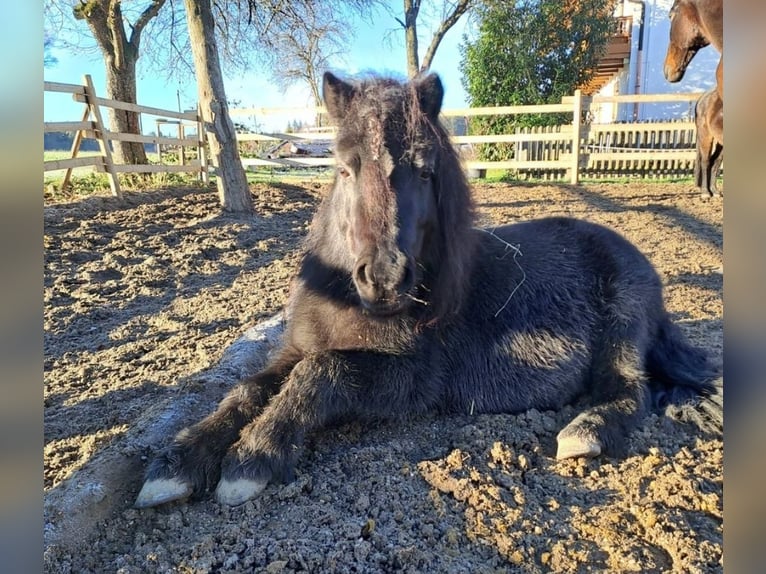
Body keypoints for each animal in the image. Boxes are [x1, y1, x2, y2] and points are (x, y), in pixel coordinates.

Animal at [135, 73, 722, 508]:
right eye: (344, 167)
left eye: (424, 170)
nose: (385, 277)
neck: (346, 297)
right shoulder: (295, 348)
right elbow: (247, 389)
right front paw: (177, 463)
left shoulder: (412, 379)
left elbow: (322, 373)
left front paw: (254, 456)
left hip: (623, 324)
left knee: (629, 390)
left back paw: (587, 432)